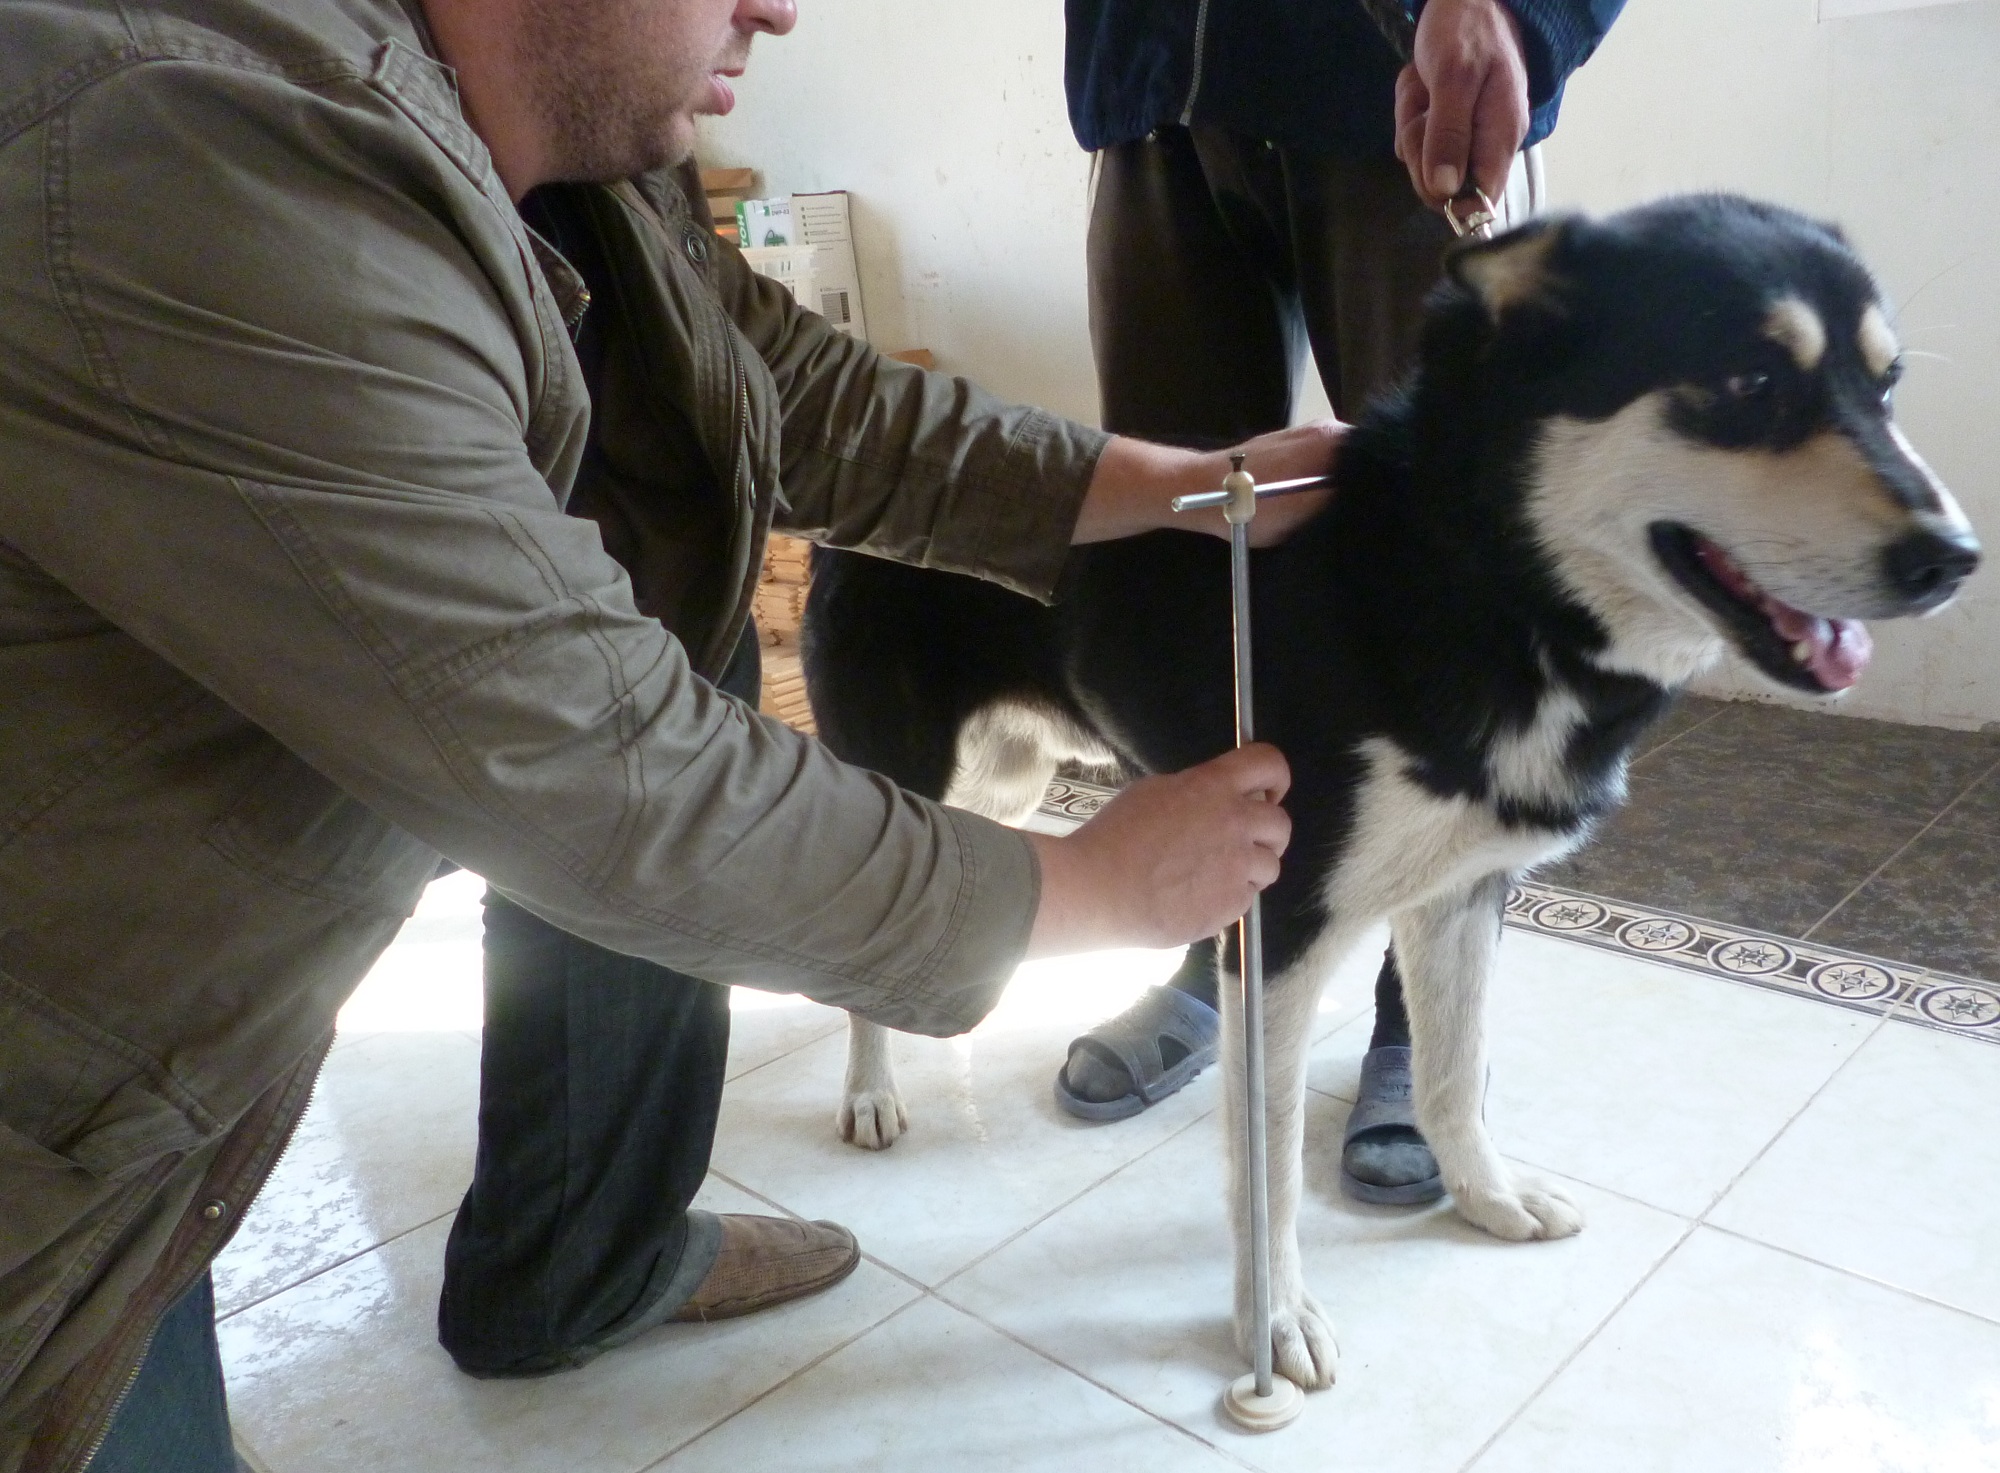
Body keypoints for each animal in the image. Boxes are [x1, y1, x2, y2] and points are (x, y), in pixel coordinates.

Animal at [799, 195, 1980, 1388]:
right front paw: (1271, 1321)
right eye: (1747, 380)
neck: (1484, 584)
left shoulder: (1459, 894)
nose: (1954, 559)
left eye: (1883, 386)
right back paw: (868, 1090)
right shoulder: (1275, 923)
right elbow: (1268, 1161)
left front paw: (1486, 1199)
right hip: (902, 778)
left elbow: (1450, 1073)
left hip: (1003, 781)